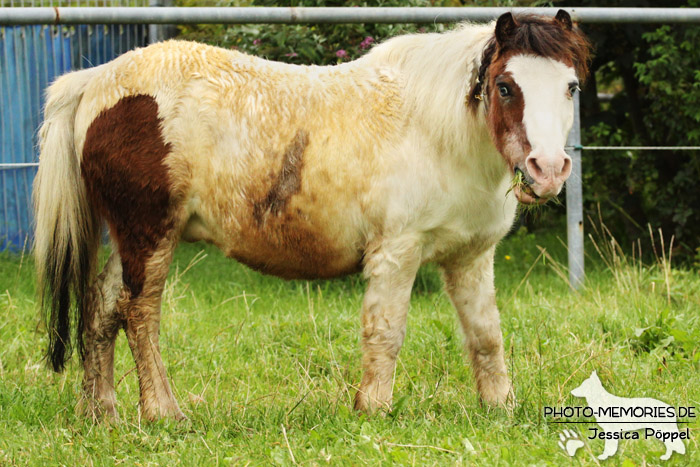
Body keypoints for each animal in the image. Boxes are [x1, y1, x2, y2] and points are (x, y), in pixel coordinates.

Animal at [34, 11, 592, 420]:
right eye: (506, 86)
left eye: (571, 87)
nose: (547, 169)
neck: (435, 130)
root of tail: (96, 81)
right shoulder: (397, 252)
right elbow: (386, 331)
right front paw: (373, 409)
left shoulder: (470, 257)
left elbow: (486, 336)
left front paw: (500, 407)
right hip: (151, 234)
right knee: (139, 313)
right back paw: (162, 412)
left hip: (129, 236)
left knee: (101, 308)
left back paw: (101, 412)